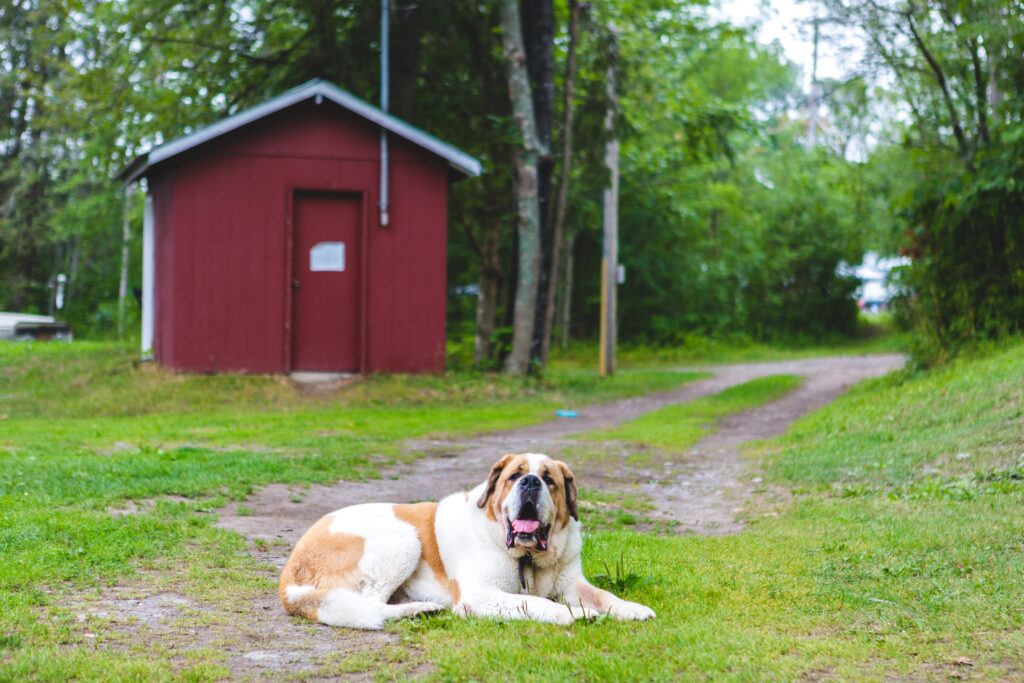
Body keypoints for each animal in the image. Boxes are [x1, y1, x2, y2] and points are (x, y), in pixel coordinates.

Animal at [276, 454, 655, 630]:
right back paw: (418, 609)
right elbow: (533, 602)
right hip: (403, 538)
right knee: (368, 604)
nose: (531, 482)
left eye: (550, 480)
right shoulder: (479, 594)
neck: (526, 557)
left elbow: (602, 595)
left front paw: (631, 608)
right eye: (514, 476)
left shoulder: (572, 583)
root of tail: (289, 574)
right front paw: (575, 615)